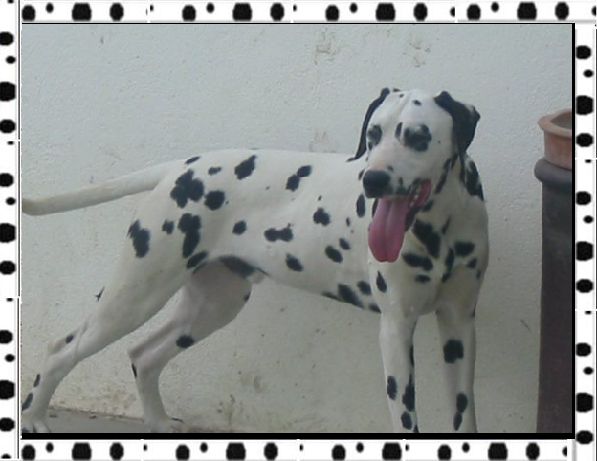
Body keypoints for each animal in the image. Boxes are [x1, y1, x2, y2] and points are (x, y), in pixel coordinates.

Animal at [22, 88, 487, 433]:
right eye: (373, 134)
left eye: (418, 137)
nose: (372, 180)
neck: (441, 225)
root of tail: (180, 167)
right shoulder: (395, 327)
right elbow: (405, 419)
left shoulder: (460, 325)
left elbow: (465, 414)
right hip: (132, 299)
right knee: (61, 349)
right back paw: (35, 419)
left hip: (212, 307)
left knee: (143, 356)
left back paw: (158, 423)